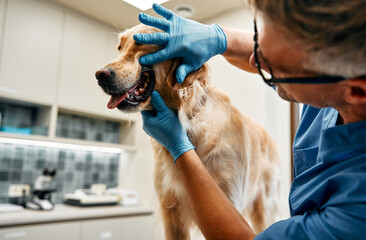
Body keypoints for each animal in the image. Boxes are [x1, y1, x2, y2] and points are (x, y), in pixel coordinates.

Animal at [96, 23, 282, 238]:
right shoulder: (171, 213)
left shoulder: (229, 200)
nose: (100, 75)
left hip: (265, 209)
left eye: (141, 42)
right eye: (119, 48)